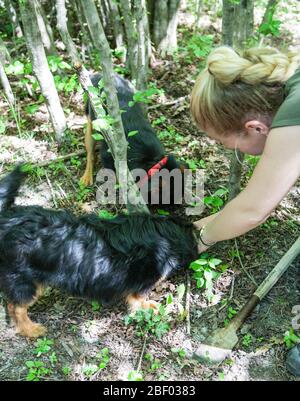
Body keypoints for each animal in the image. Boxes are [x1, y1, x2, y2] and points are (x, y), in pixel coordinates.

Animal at [0, 167, 197, 336]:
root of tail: (8, 220)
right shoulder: (144, 280)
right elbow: (138, 298)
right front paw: (148, 307)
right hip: (24, 280)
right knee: (15, 307)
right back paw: (30, 329)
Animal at [81, 73, 186, 203]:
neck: (151, 160)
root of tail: (98, 75)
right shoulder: (108, 157)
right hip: (92, 123)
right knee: (90, 152)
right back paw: (87, 175)